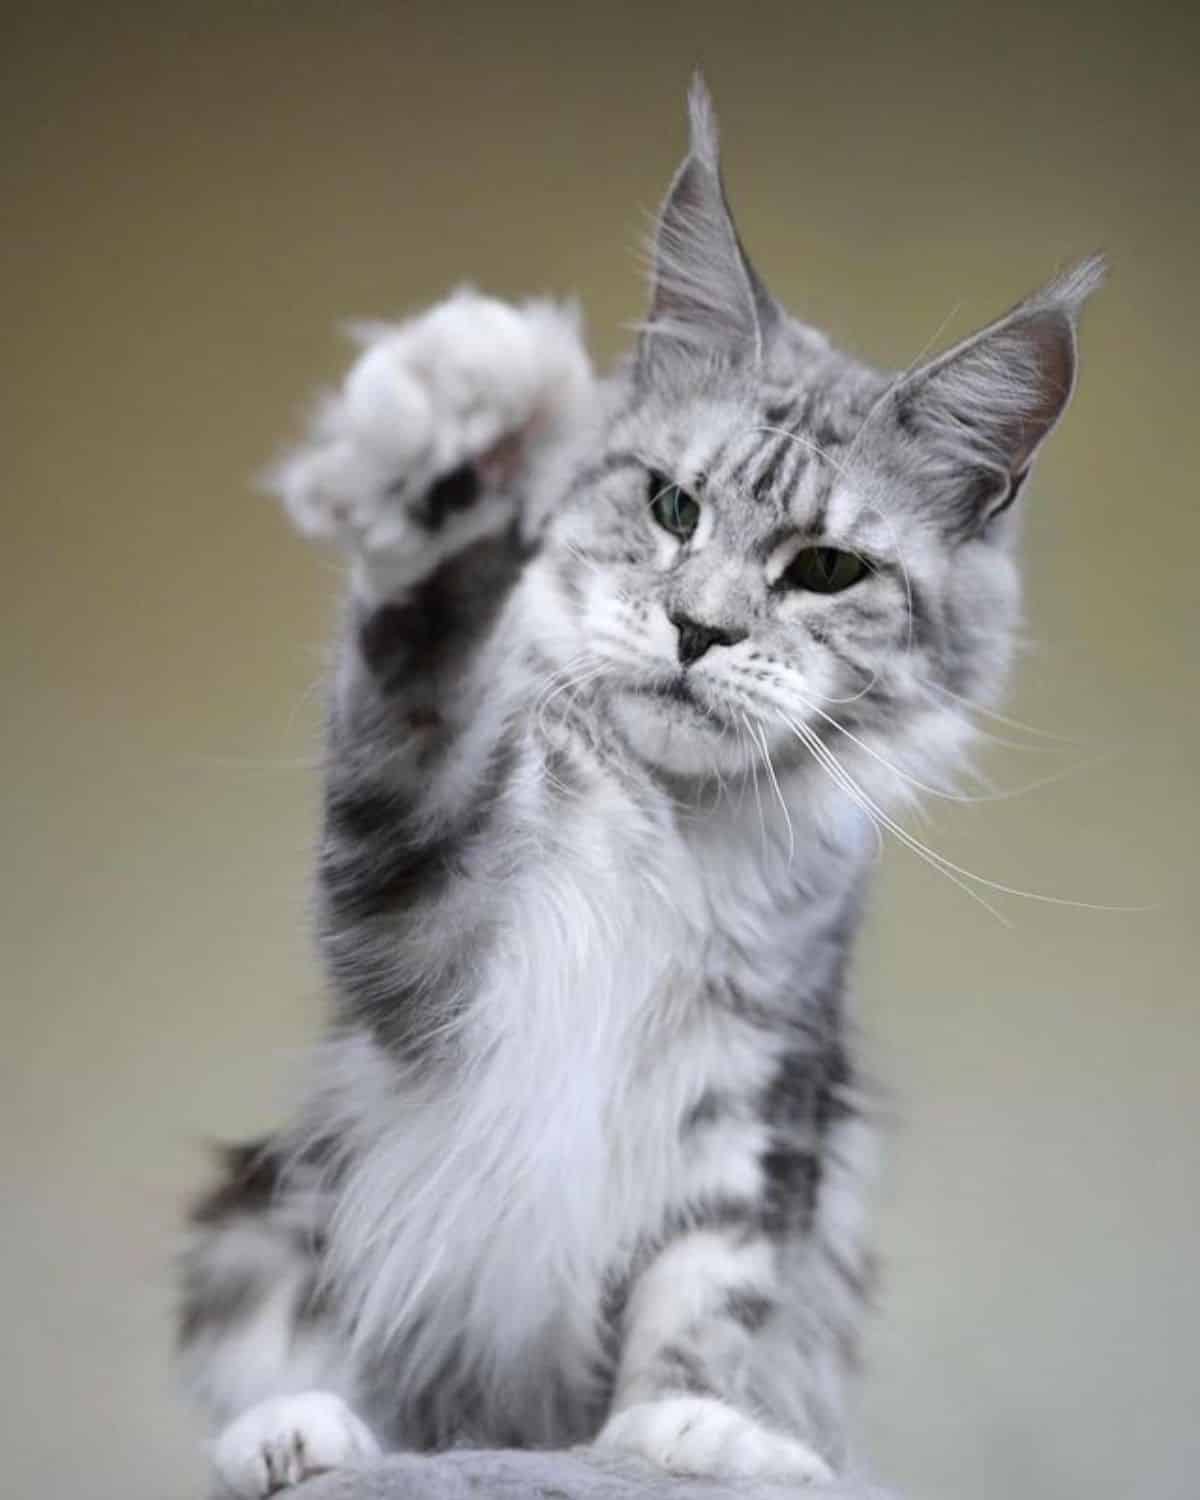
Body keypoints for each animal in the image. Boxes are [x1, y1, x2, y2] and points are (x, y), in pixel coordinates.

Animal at [173, 76, 1104, 1494]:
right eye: (672, 507)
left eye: (826, 570)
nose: (698, 630)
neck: (675, 827)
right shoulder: (430, 940)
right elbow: (424, 689)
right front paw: (458, 462)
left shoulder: (762, 1079)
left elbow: (709, 1281)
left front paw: (682, 1437)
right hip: (262, 1205)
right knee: (284, 1360)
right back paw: (297, 1438)